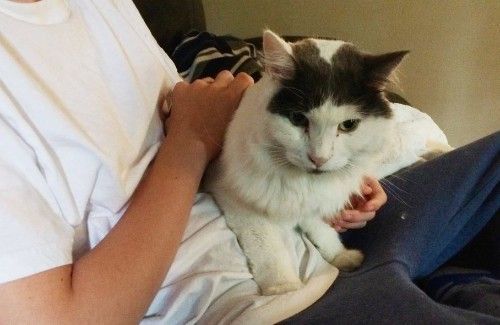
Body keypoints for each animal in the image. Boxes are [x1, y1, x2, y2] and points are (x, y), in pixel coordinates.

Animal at [205, 31, 408, 296]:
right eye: (297, 119)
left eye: (349, 125)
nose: (319, 158)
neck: (304, 182)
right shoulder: (237, 199)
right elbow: (268, 247)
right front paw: (283, 288)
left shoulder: (310, 203)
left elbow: (321, 228)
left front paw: (340, 255)